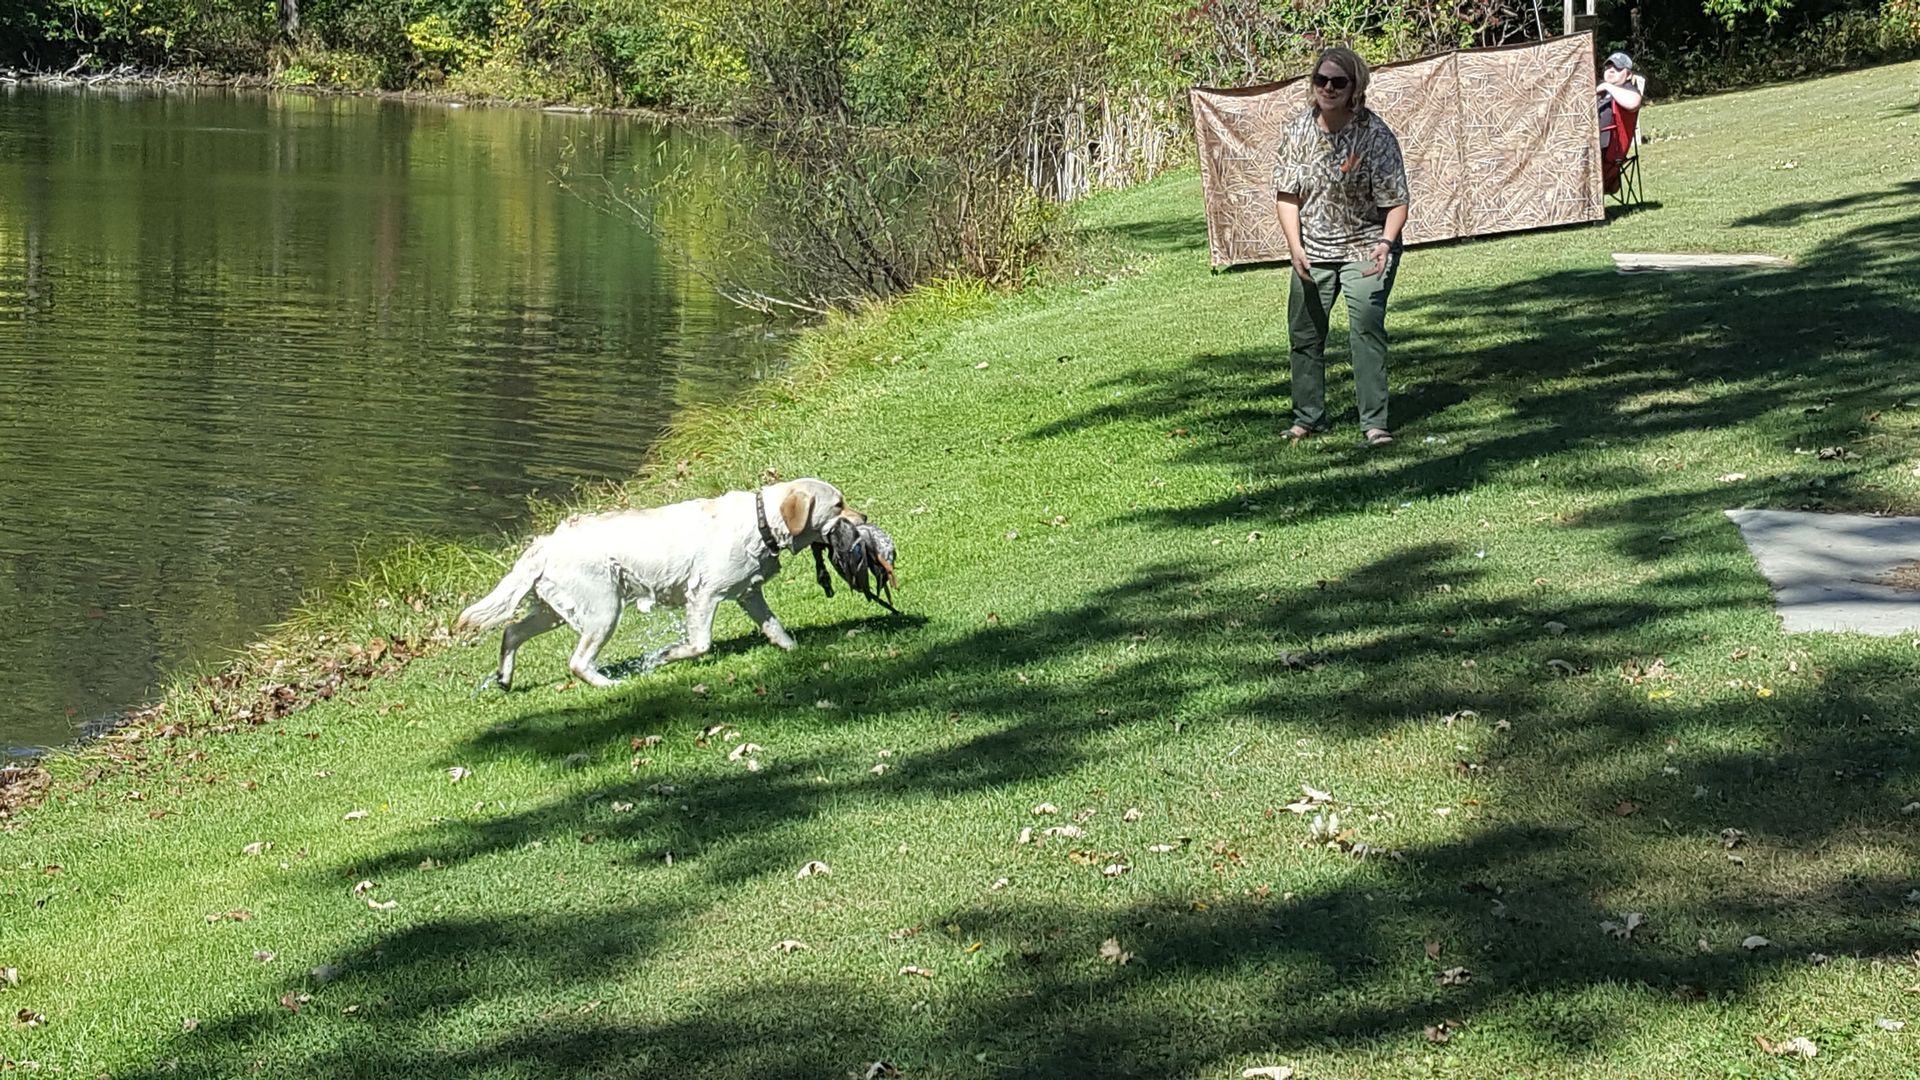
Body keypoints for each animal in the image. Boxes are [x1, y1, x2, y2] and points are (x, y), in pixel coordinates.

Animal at [456, 478, 864, 687]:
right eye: (839, 504)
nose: (863, 517)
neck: (760, 522)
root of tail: (544, 543)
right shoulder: (704, 596)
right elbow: (700, 644)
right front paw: (669, 655)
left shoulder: (749, 594)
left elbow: (775, 627)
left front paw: (794, 649)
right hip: (604, 611)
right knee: (577, 662)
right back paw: (610, 685)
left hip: (555, 610)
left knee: (511, 632)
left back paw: (505, 677)